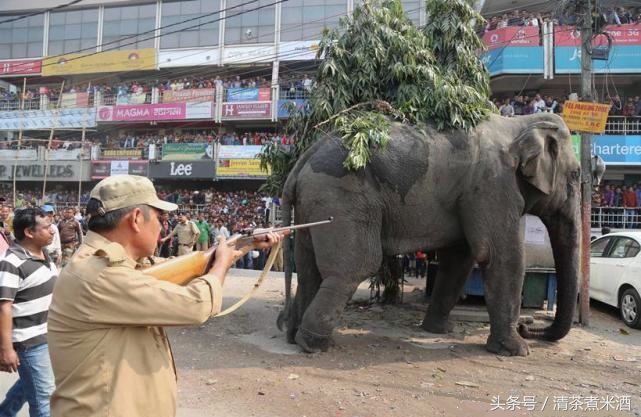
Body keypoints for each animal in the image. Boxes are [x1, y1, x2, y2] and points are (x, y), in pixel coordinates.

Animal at [276, 112, 580, 356]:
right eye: (577, 175)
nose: (529, 327)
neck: (519, 122)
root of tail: (304, 157)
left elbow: (460, 259)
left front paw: (440, 331)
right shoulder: (493, 185)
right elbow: (500, 256)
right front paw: (517, 351)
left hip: (312, 203)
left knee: (308, 266)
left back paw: (294, 336)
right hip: (341, 196)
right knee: (356, 266)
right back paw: (313, 344)